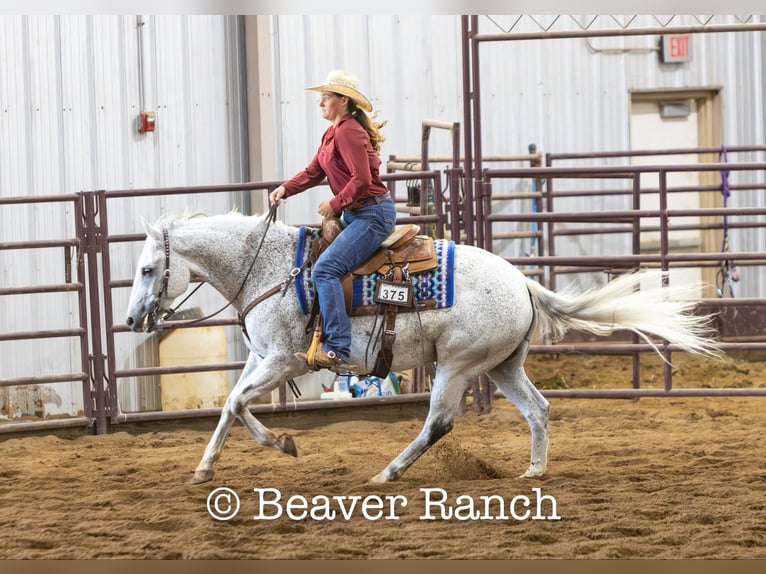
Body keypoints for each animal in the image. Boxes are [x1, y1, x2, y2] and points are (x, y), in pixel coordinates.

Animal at [125, 211, 719, 485]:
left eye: (148, 268)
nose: (132, 319)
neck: (270, 268)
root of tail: (523, 283)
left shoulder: (283, 361)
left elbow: (236, 403)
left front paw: (281, 444)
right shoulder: (260, 358)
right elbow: (231, 406)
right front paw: (208, 468)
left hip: (457, 366)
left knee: (439, 423)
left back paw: (387, 473)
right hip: (502, 367)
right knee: (539, 409)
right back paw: (533, 471)